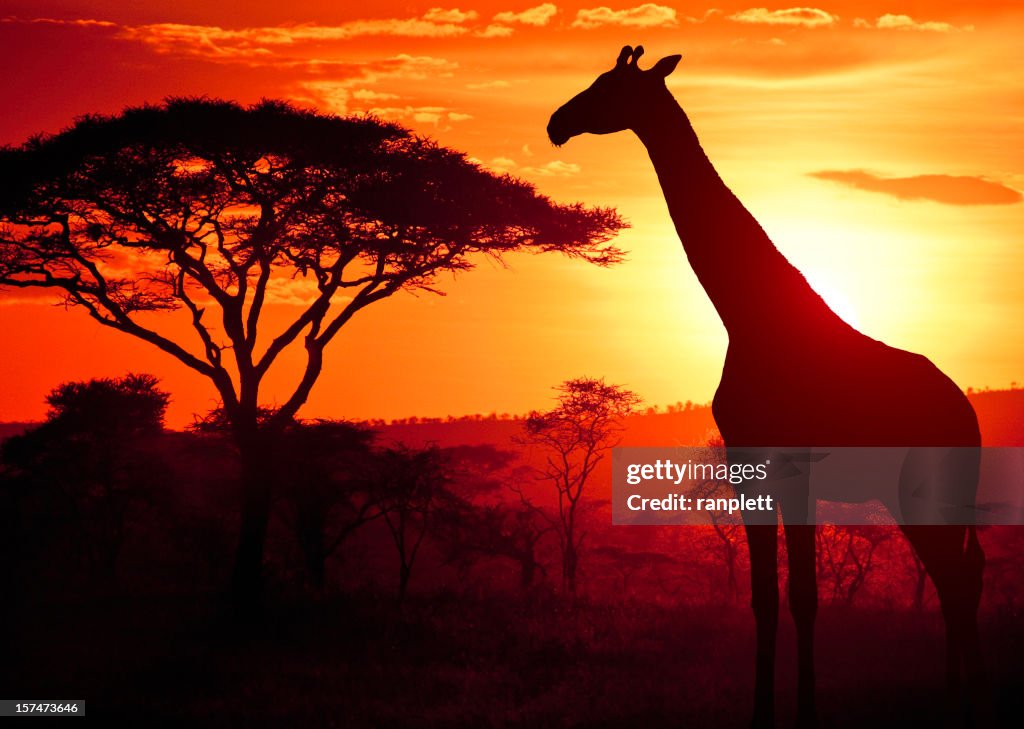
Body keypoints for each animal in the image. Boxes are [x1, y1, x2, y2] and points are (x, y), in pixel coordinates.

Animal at [548, 47, 987, 729]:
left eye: (607, 86)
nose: (556, 124)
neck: (748, 316)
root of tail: (967, 413)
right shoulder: (747, 463)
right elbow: (761, 597)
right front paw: (761, 713)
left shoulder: (795, 465)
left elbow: (804, 595)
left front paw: (804, 714)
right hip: (908, 495)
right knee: (955, 578)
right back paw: (952, 703)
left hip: (927, 487)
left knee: (959, 579)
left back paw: (961, 709)